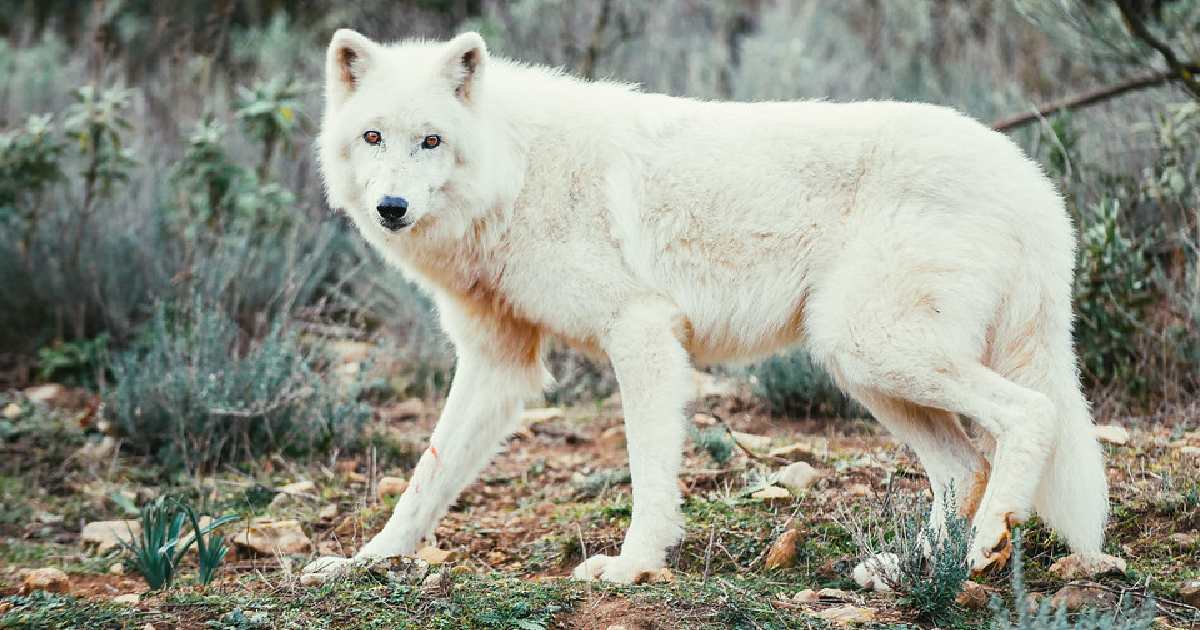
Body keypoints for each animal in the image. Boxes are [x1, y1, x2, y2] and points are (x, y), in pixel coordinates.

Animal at [307, 28, 1104, 580]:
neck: (518, 174)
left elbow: (650, 473)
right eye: (373, 137)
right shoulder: (498, 365)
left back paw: (983, 549)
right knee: (963, 467)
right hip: (861, 367)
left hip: (870, 350)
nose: (391, 207)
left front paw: (632, 566)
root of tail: (1033, 184)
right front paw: (367, 560)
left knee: (1031, 415)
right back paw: (916, 571)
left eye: (431, 141)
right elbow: (426, 479)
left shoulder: (642, 333)